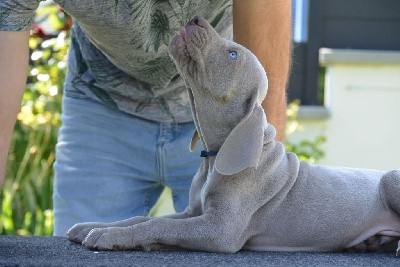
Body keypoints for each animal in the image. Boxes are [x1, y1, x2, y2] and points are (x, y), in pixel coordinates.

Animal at [66, 16, 400, 255]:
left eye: (232, 54)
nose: (196, 19)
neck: (215, 156)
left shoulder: (221, 229)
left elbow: (156, 225)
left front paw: (111, 236)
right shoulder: (193, 211)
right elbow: (146, 219)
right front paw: (96, 227)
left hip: (391, 180)